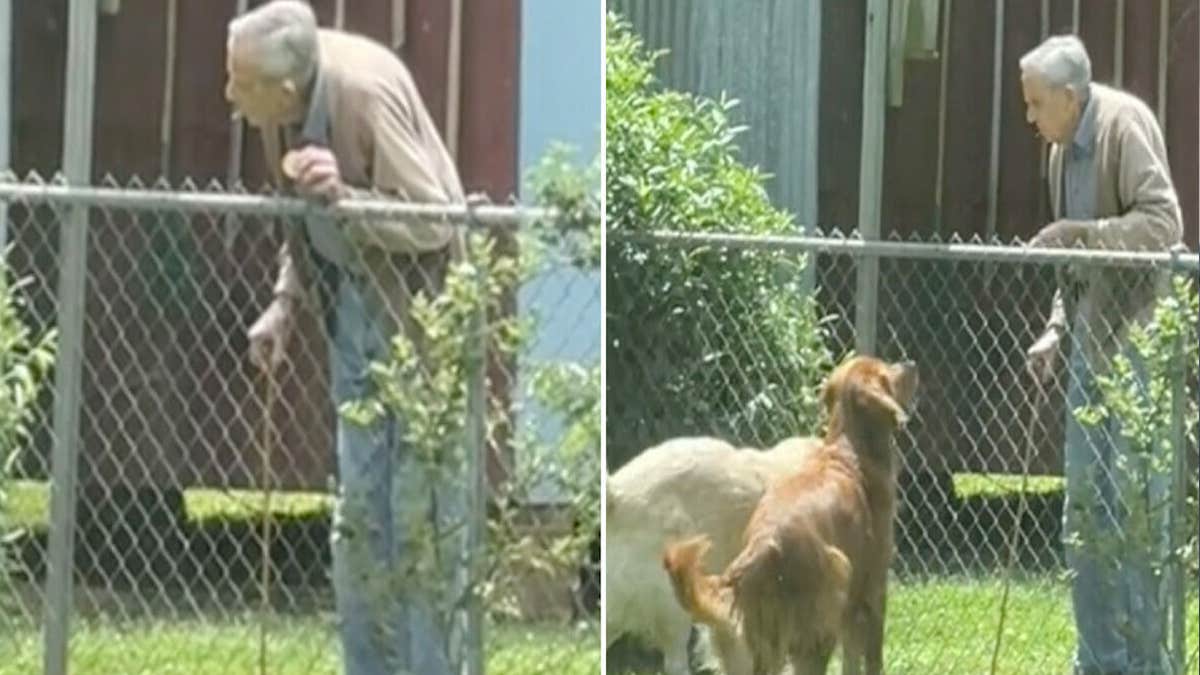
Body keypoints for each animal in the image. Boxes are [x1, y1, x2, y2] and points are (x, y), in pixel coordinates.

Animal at [667, 355, 916, 667]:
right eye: (887, 373)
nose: (911, 364)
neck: (849, 451)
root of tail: (764, 545)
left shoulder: (852, 610)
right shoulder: (873, 592)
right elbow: (872, 659)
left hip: (768, 642)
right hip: (831, 591)